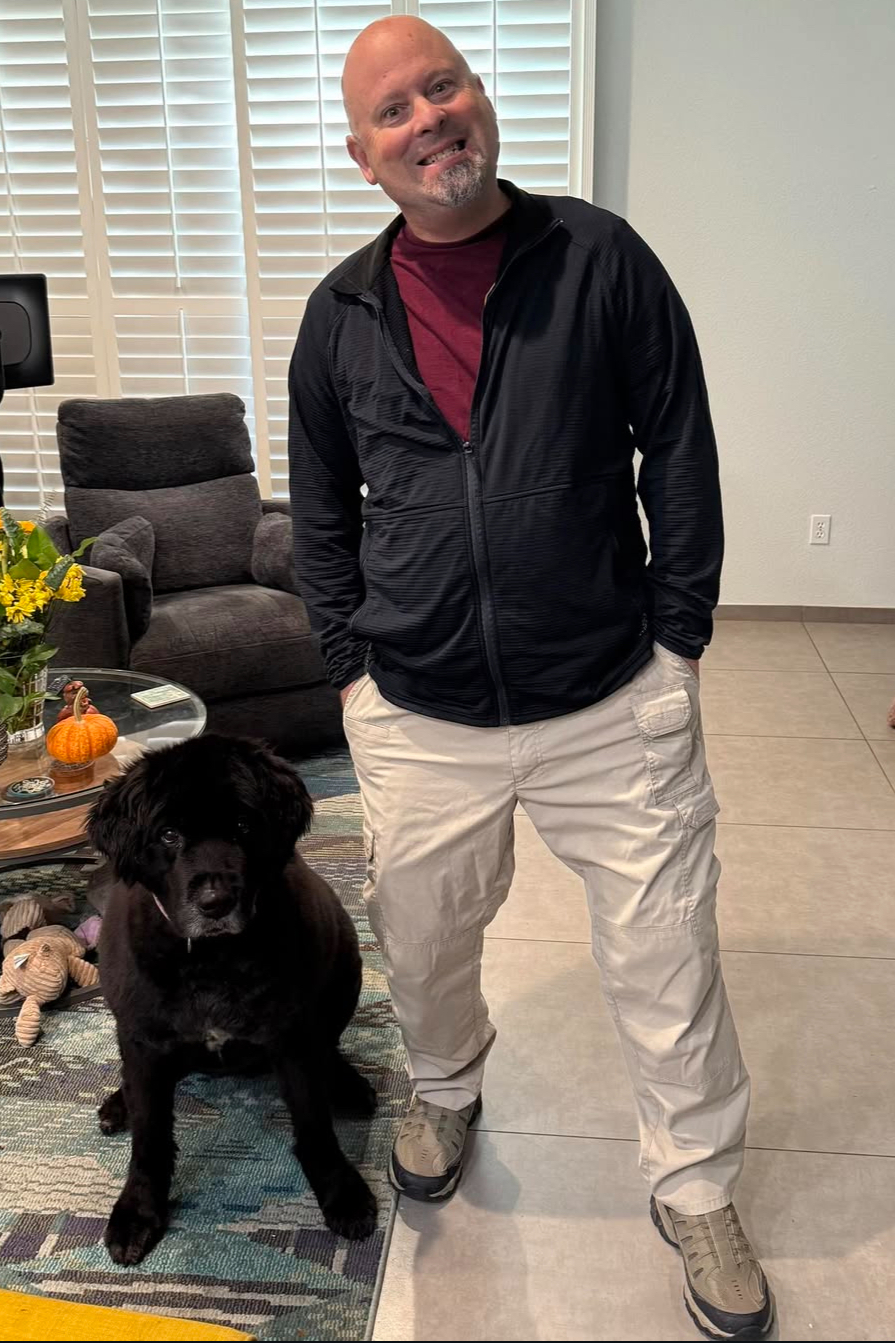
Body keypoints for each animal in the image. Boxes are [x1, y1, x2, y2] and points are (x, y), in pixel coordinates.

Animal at [87, 733, 377, 1266]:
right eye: (168, 834)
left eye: (243, 825)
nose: (215, 901)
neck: (211, 959)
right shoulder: (144, 1040)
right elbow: (150, 1135)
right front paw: (138, 1209)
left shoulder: (292, 1037)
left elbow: (314, 1124)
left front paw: (340, 1191)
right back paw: (118, 1103)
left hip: (347, 965)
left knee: (331, 1047)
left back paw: (348, 1085)